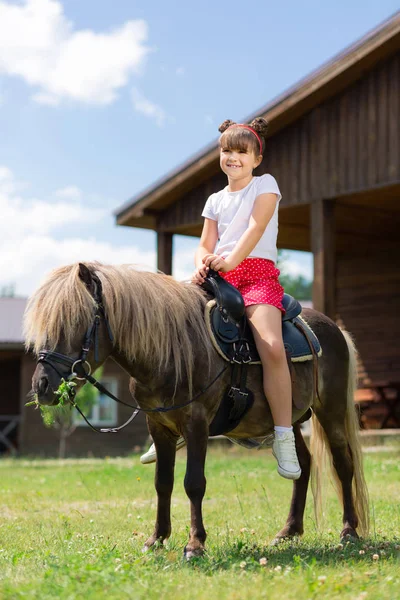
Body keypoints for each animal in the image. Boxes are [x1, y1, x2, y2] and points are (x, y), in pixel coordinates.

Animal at [24, 262, 368, 556]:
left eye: (77, 322)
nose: (42, 385)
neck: (171, 349)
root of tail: (333, 328)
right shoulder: (158, 426)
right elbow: (163, 482)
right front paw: (157, 538)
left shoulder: (197, 423)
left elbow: (193, 483)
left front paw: (195, 544)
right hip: (291, 418)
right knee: (303, 464)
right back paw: (288, 531)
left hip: (331, 410)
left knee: (343, 463)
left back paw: (349, 531)